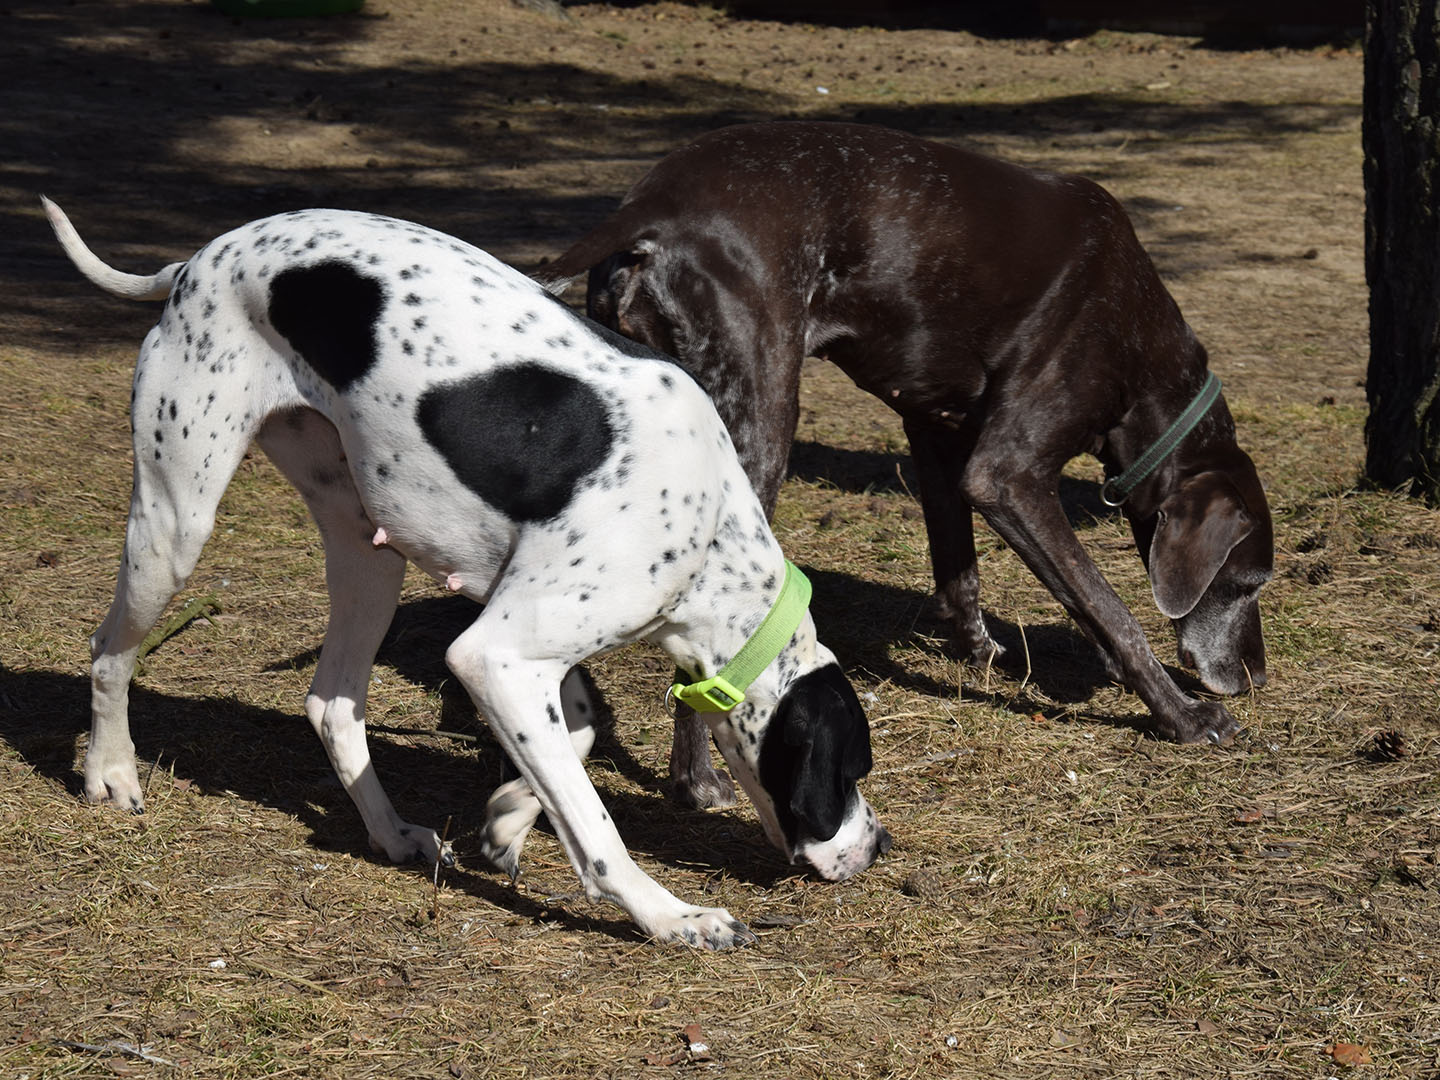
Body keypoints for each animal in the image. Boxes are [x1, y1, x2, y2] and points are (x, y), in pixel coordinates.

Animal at [47, 198, 887, 950]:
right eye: (851, 768)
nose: (878, 845)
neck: (710, 524)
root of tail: (199, 261)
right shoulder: (496, 654)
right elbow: (598, 830)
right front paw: (671, 917)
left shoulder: (521, 642)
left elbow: (578, 734)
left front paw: (510, 815)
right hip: (175, 526)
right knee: (108, 651)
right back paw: (110, 772)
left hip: (369, 558)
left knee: (332, 704)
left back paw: (391, 834)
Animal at [541, 124, 1272, 806]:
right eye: (1249, 583)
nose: (1256, 678)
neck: (1141, 352)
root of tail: (651, 202)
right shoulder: (1007, 474)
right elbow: (1109, 606)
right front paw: (1182, 715)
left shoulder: (935, 431)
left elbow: (963, 569)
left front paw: (980, 652)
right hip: (758, 426)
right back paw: (696, 781)